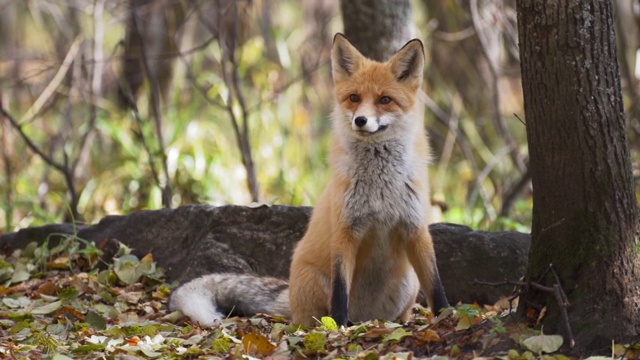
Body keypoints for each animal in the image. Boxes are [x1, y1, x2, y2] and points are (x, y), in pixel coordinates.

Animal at [170, 33, 450, 326]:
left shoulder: (416, 228)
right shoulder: (344, 231)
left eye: (385, 99)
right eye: (354, 97)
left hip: (409, 283)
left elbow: (436, 284)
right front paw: (337, 326)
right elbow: (340, 292)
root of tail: (365, 318)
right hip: (315, 284)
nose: (361, 120)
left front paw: (447, 315)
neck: (380, 184)